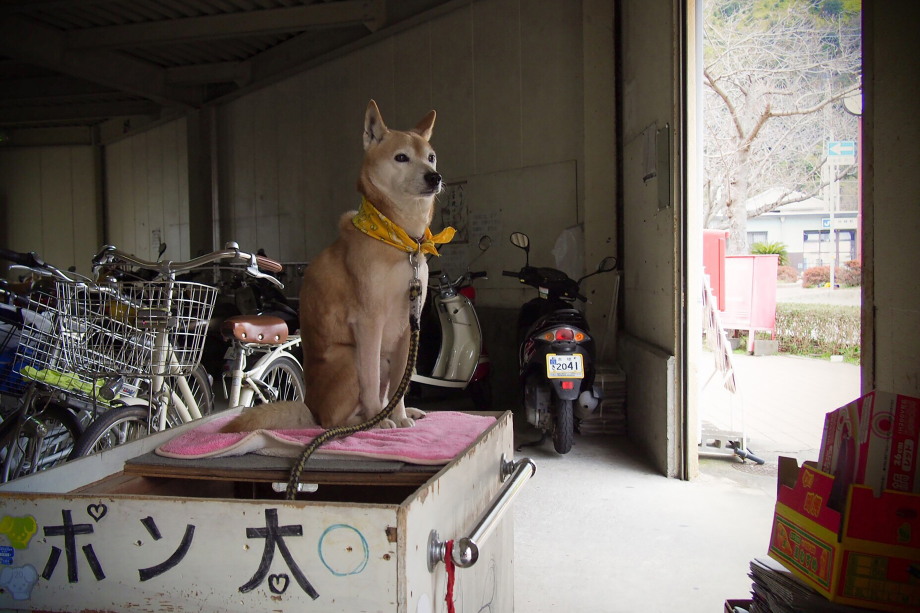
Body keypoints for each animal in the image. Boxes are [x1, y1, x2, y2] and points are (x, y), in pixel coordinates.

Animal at [224, 100, 452, 432]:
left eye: (431, 157)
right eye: (401, 157)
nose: (434, 177)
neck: (399, 240)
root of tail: (311, 407)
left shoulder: (409, 328)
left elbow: (401, 383)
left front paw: (400, 415)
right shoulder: (369, 322)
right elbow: (370, 384)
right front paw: (381, 420)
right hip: (349, 358)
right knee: (333, 419)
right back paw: (367, 419)